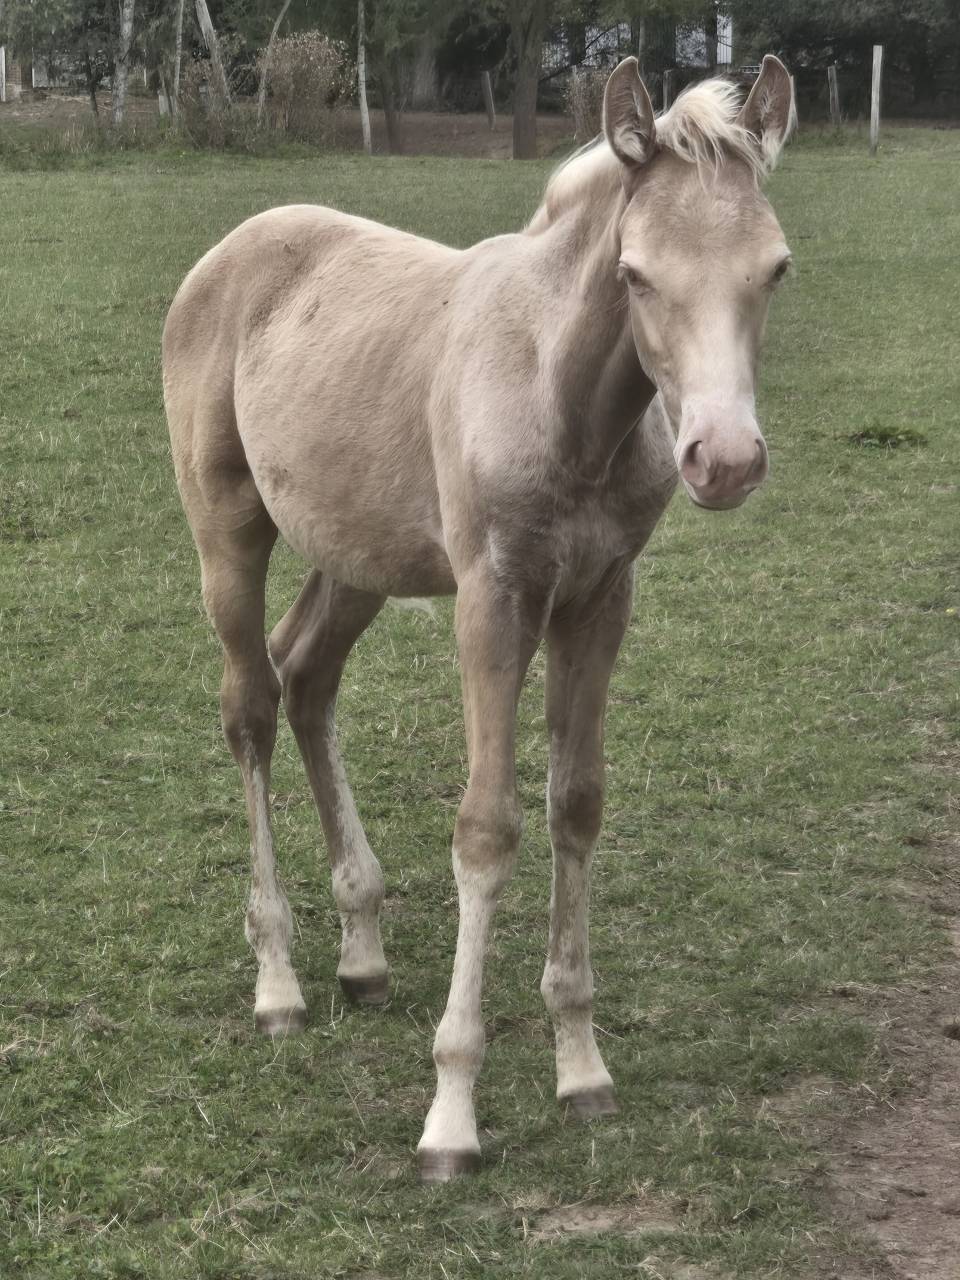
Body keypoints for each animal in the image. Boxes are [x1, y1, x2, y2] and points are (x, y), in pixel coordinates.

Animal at [162, 55, 795, 1181]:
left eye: (774, 270)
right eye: (636, 274)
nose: (723, 460)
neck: (565, 398)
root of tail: (227, 253)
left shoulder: (599, 597)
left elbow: (575, 803)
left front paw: (581, 1067)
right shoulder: (494, 599)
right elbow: (487, 826)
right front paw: (451, 1112)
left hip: (359, 553)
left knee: (306, 675)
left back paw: (363, 950)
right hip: (228, 533)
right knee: (250, 705)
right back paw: (279, 981)